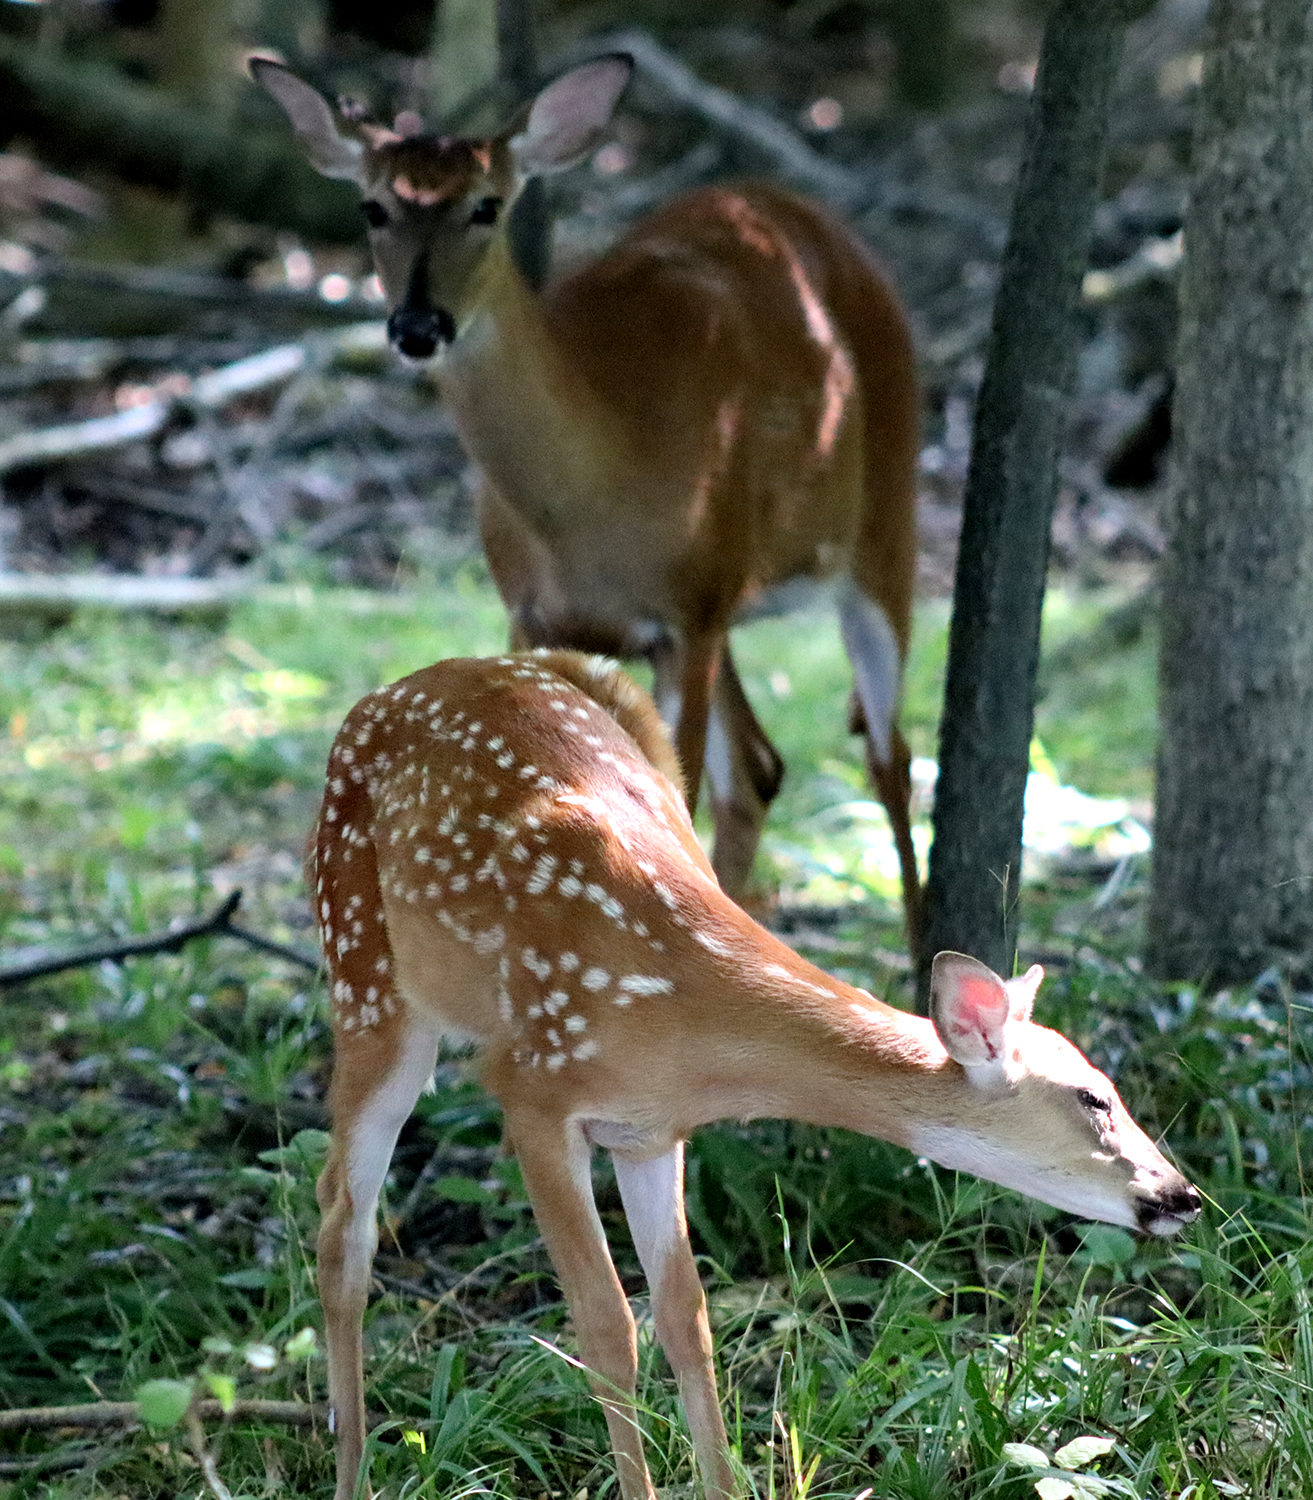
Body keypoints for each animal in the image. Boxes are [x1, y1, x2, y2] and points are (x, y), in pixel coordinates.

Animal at [252, 52, 924, 950]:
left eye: (487, 205)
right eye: (373, 206)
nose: (418, 325)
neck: (588, 504)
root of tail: (814, 217)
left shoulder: (686, 614)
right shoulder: (536, 614)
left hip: (880, 525)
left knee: (887, 758)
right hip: (727, 602)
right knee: (759, 770)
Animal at [308, 648, 1200, 1500]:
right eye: (1093, 1098)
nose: (1182, 1194)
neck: (687, 1018)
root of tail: (386, 691)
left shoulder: (647, 1131)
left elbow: (684, 1315)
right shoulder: (531, 1088)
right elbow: (604, 1324)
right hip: (363, 970)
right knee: (342, 1221)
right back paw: (350, 1475)